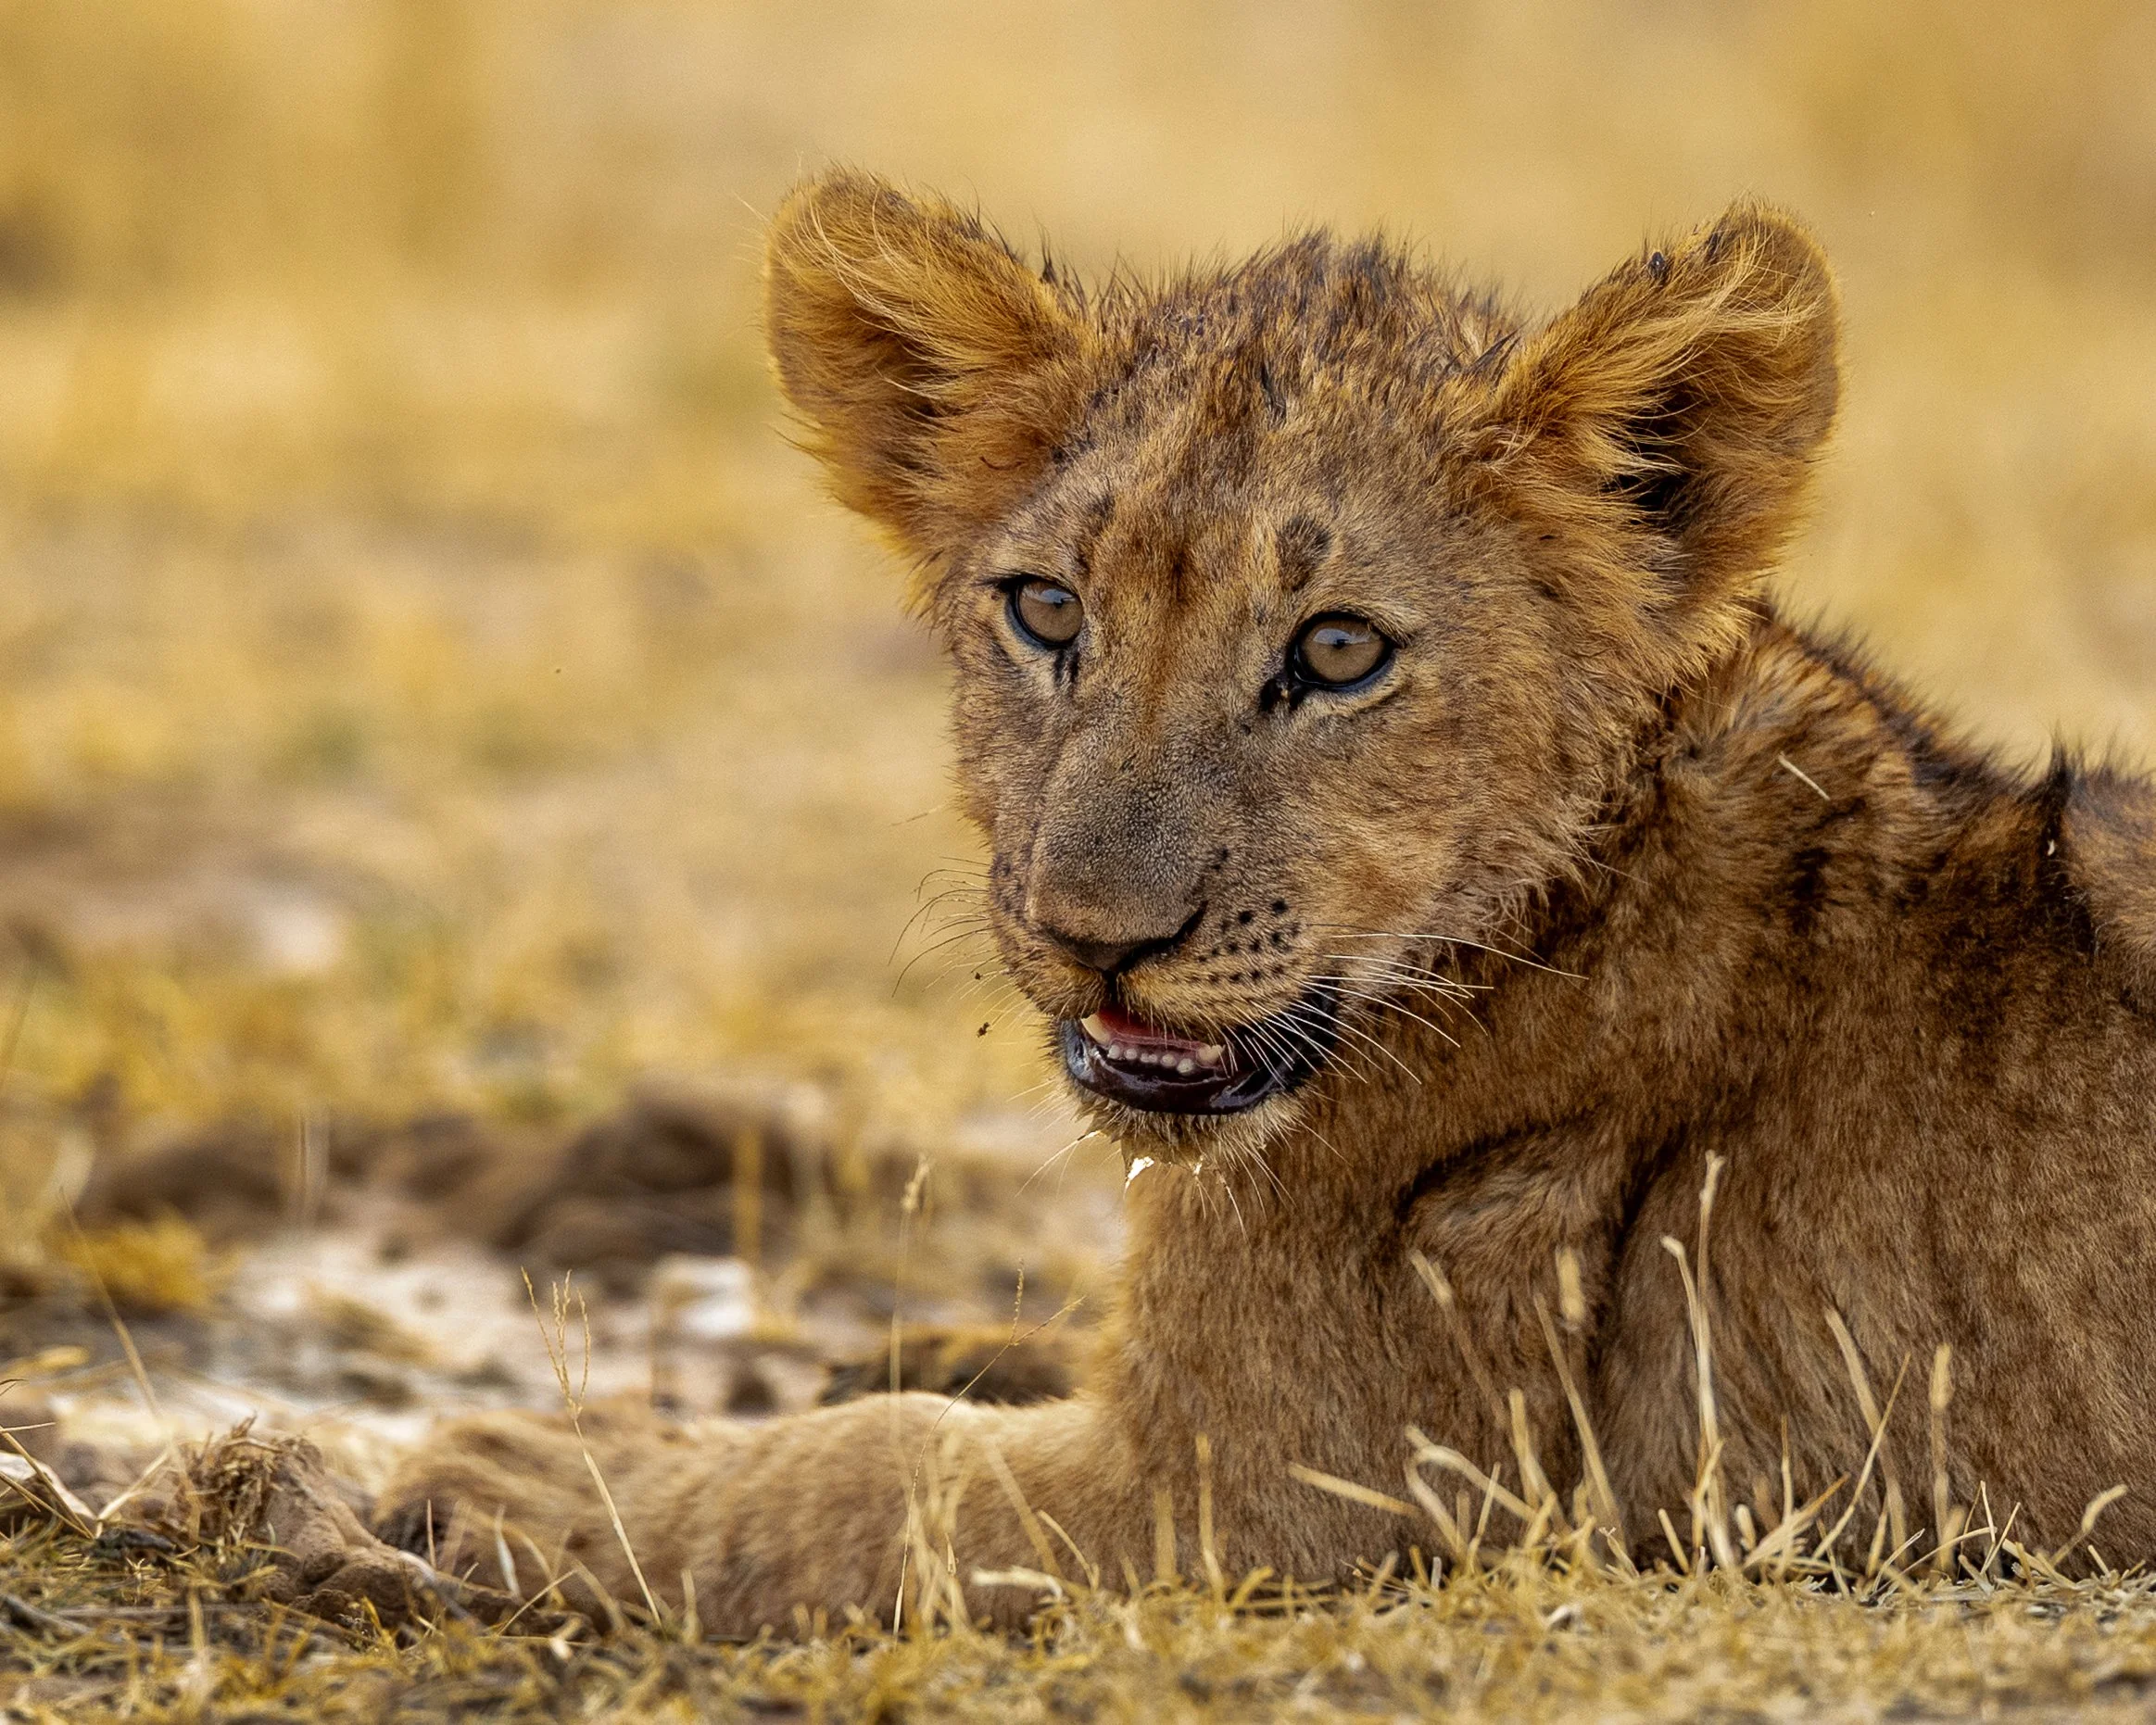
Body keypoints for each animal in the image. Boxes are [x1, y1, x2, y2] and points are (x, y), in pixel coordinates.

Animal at [371, 170, 2156, 1632]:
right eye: (1046, 610)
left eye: (1340, 650)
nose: (1097, 936)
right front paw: (947, 1343)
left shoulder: (1277, 1494)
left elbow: (856, 1482)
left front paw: (513, 1474)